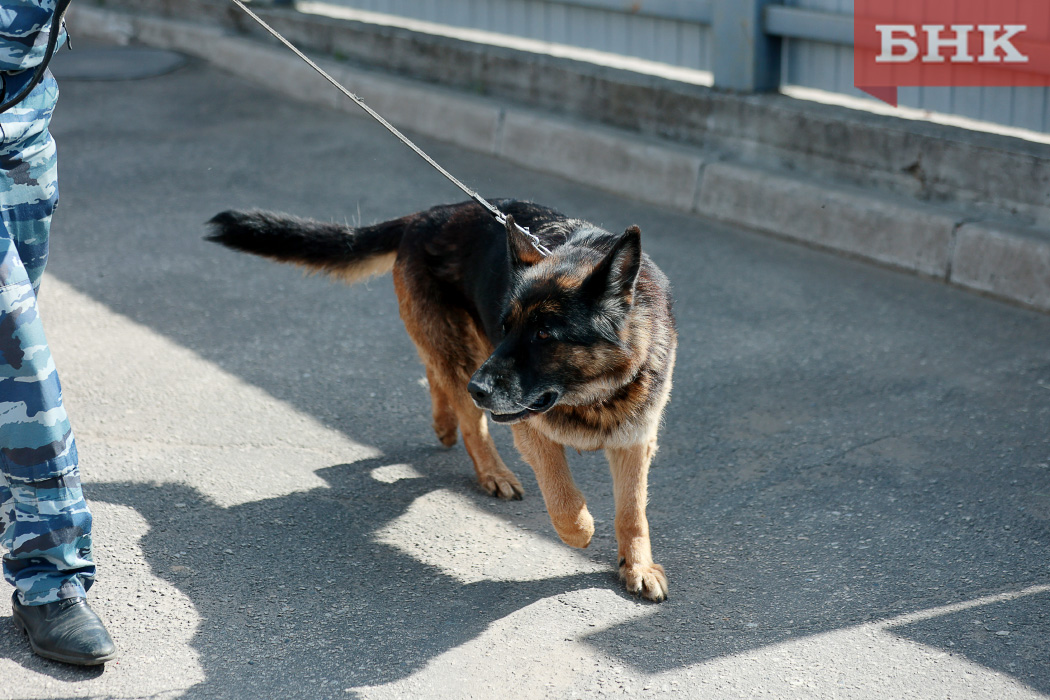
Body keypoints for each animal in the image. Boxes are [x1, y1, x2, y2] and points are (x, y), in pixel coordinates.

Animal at [208, 199, 676, 600]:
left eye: (545, 334)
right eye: (506, 326)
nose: (478, 389)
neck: (593, 392)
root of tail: (428, 214)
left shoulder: (635, 439)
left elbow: (632, 512)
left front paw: (637, 567)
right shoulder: (530, 428)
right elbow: (566, 503)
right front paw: (581, 531)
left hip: (464, 353)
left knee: (436, 376)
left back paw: (445, 420)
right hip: (462, 350)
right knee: (465, 410)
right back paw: (490, 467)